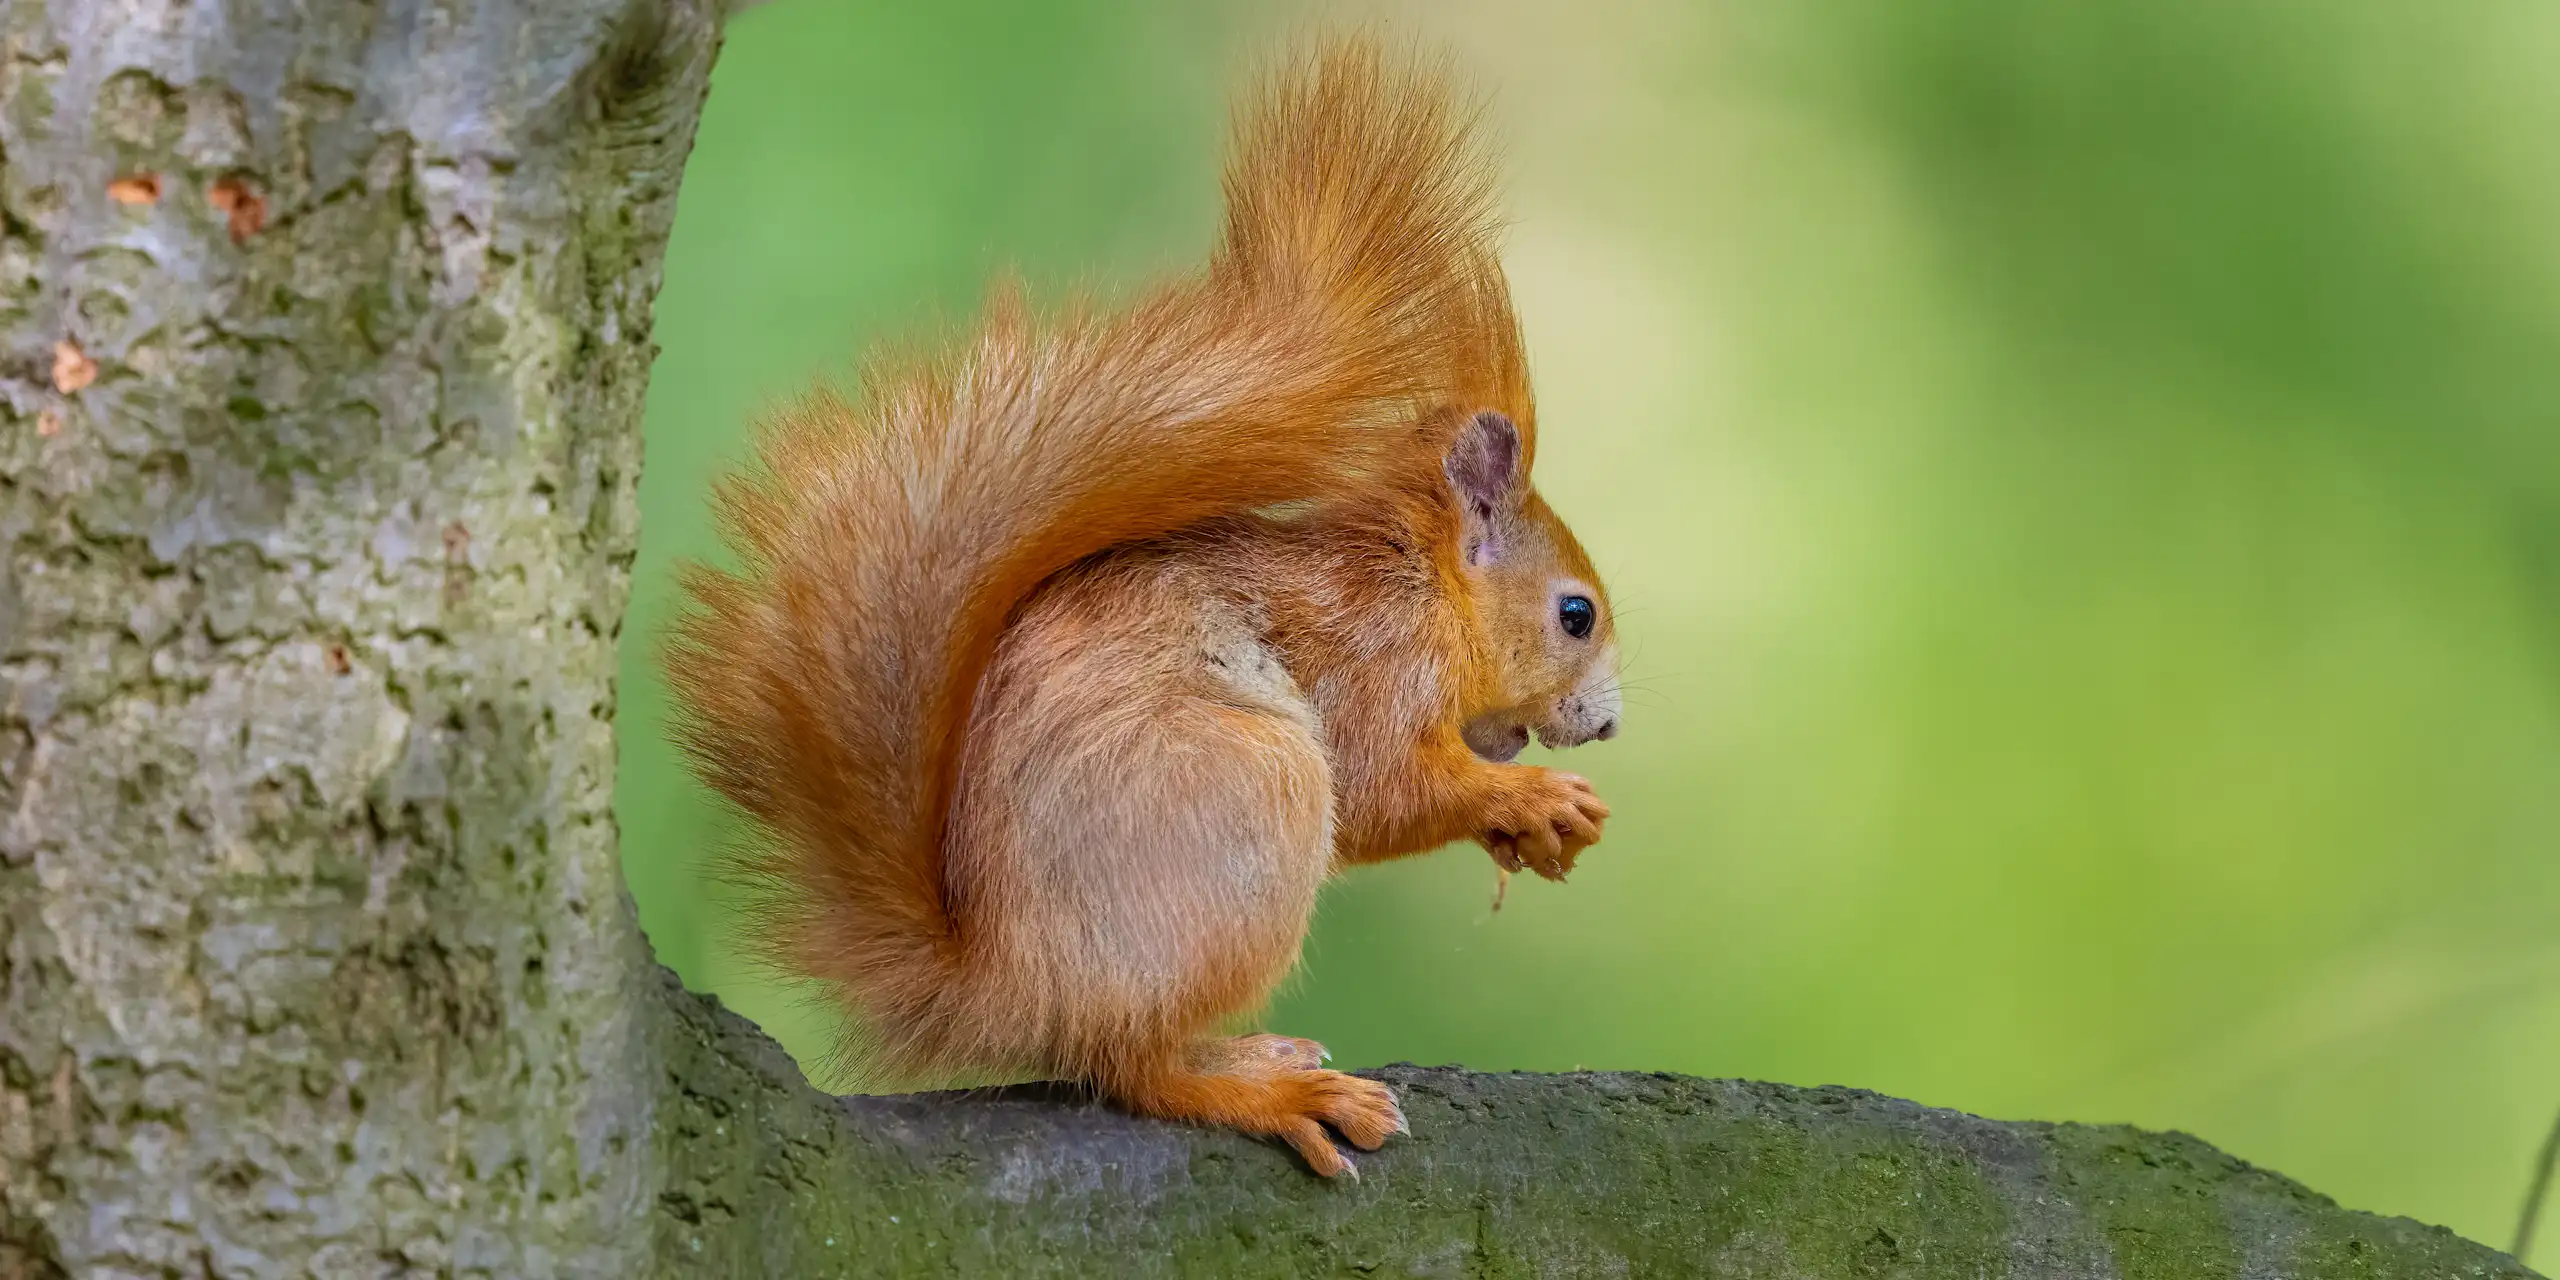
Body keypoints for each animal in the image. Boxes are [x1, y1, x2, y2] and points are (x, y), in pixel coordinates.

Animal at [663, 37, 1620, 1177]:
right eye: (1575, 615)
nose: (1607, 723)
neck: (1424, 587)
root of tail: (1007, 984)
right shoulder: (1373, 657)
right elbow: (1384, 787)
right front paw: (1531, 801)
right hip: (1248, 798)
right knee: (1133, 1063)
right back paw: (1265, 1088)